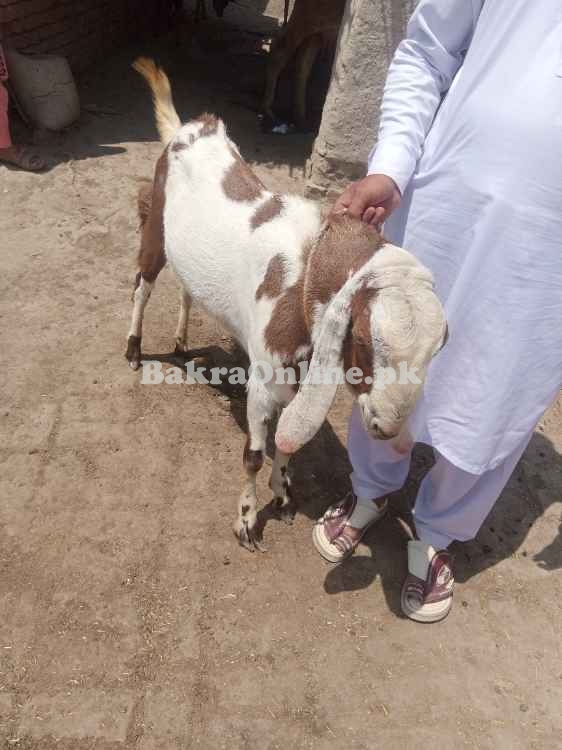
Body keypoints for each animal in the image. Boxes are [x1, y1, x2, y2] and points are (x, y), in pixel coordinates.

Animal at [127, 57, 446, 552]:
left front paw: (282, 495)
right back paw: (135, 348)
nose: (388, 428)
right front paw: (245, 521)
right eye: (361, 337)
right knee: (142, 283)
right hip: (155, 225)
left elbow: (283, 442)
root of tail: (188, 128)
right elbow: (255, 453)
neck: (306, 269)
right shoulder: (263, 378)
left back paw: (180, 342)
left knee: (186, 288)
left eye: (437, 350)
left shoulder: (296, 373)